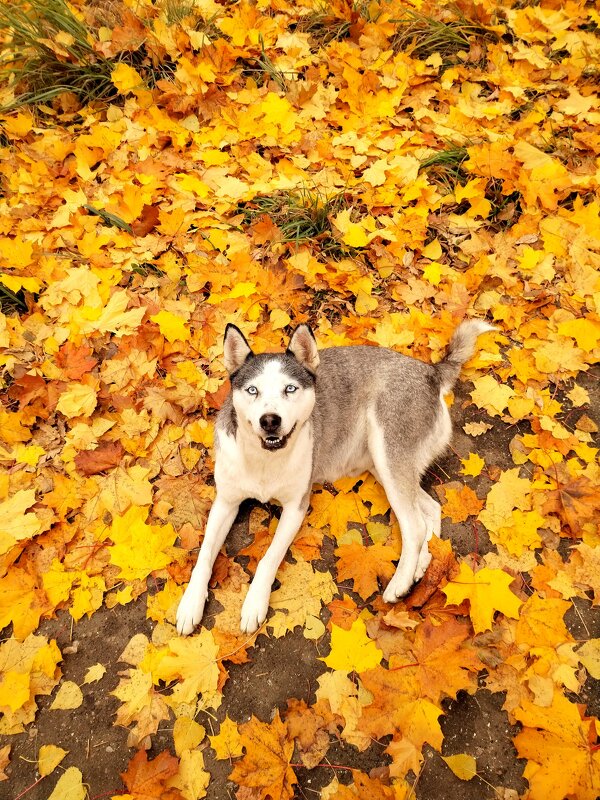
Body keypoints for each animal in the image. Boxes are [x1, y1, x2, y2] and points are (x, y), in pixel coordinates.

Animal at [176, 318, 494, 636]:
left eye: (290, 388)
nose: (270, 421)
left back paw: (401, 582)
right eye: (253, 390)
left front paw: (255, 602)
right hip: (384, 465)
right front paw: (191, 603)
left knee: (414, 525)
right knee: (430, 509)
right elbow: (204, 554)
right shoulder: (225, 502)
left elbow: (269, 558)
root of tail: (429, 371)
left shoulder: (296, 508)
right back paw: (421, 565)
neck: (264, 460)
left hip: (387, 454)